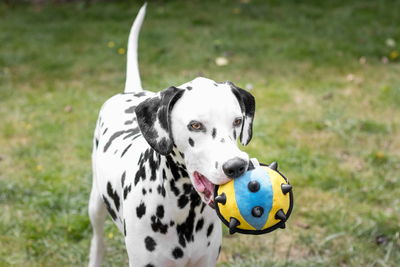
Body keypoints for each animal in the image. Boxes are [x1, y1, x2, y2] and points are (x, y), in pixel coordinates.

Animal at [88, 4, 256, 267]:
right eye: (195, 125)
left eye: (237, 121)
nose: (237, 166)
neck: (185, 212)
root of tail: (131, 90)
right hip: (95, 203)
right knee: (98, 239)